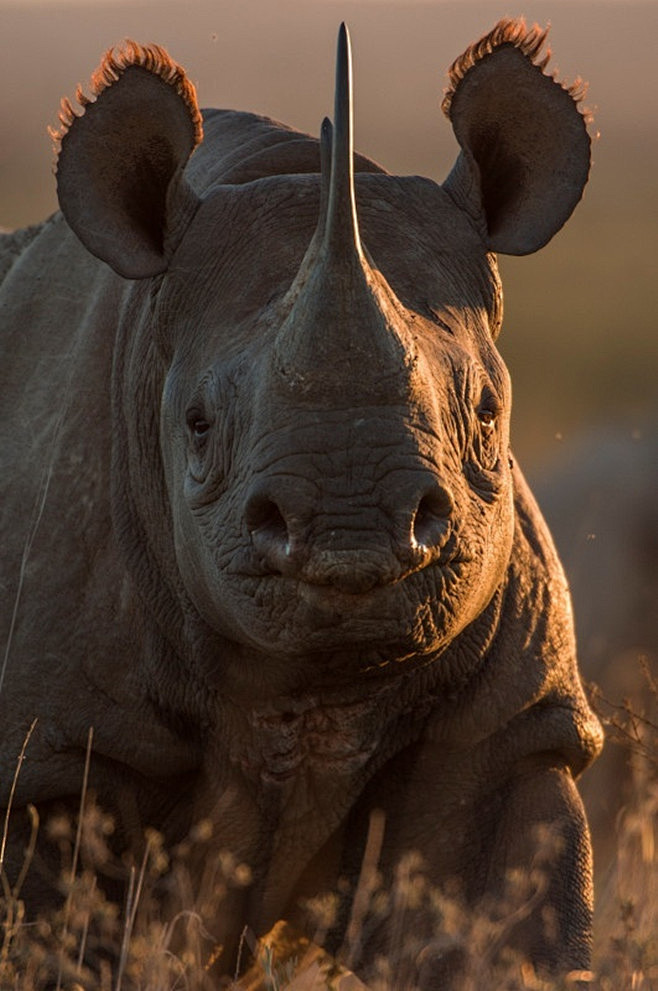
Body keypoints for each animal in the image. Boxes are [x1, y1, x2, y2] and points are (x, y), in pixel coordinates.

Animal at [0, 17, 604, 991]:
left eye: (487, 413)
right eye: (197, 425)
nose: (352, 534)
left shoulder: (509, 729)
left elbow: (500, 921)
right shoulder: (48, 757)